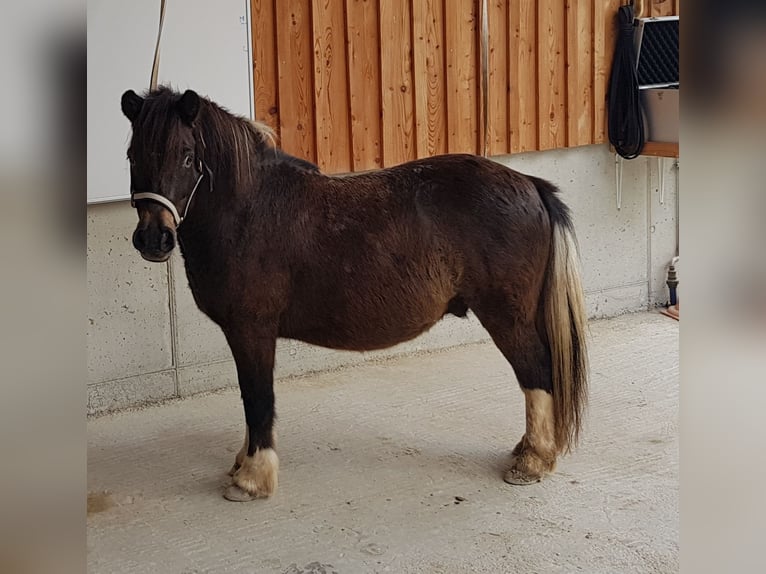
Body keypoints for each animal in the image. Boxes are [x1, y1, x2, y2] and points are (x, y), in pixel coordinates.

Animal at [121, 86, 588, 504]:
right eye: (131, 155)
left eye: (186, 155)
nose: (154, 239)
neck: (250, 209)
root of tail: (530, 183)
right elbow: (249, 397)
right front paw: (242, 464)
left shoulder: (252, 330)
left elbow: (257, 397)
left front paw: (252, 479)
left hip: (506, 316)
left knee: (536, 372)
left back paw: (533, 461)